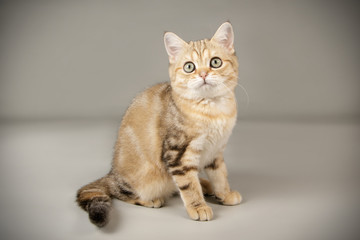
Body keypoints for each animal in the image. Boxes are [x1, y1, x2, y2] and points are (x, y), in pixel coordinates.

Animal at [77, 22, 243, 227]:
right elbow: (188, 185)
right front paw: (198, 207)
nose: (203, 74)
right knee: (121, 192)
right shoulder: (178, 154)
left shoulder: (216, 151)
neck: (212, 109)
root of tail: (111, 174)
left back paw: (206, 184)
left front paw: (224, 194)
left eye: (215, 62)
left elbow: (220, 175)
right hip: (142, 180)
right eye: (189, 67)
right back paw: (152, 199)